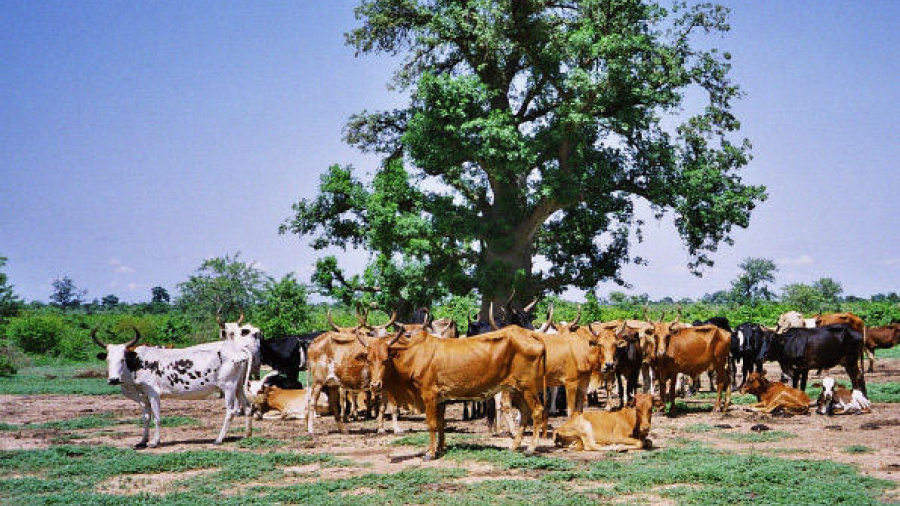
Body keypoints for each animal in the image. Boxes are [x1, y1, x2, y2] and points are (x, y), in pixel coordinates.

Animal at [92, 322, 260, 448]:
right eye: (107, 359)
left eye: (123, 359)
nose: (113, 379)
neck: (137, 363)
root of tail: (238, 348)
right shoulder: (143, 397)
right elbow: (146, 417)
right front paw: (142, 441)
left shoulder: (153, 394)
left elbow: (156, 418)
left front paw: (154, 442)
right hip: (238, 387)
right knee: (247, 407)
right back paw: (247, 435)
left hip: (228, 387)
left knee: (230, 411)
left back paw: (219, 439)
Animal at [366, 326, 548, 460]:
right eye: (368, 360)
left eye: (385, 360)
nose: (375, 384)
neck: (414, 354)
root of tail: (530, 334)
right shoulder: (440, 398)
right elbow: (441, 423)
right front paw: (441, 448)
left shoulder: (429, 395)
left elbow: (431, 424)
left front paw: (430, 453)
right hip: (517, 389)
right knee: (525, 413)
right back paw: (515, 446)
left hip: (528, 388)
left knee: (537, 411)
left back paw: (531, 448)